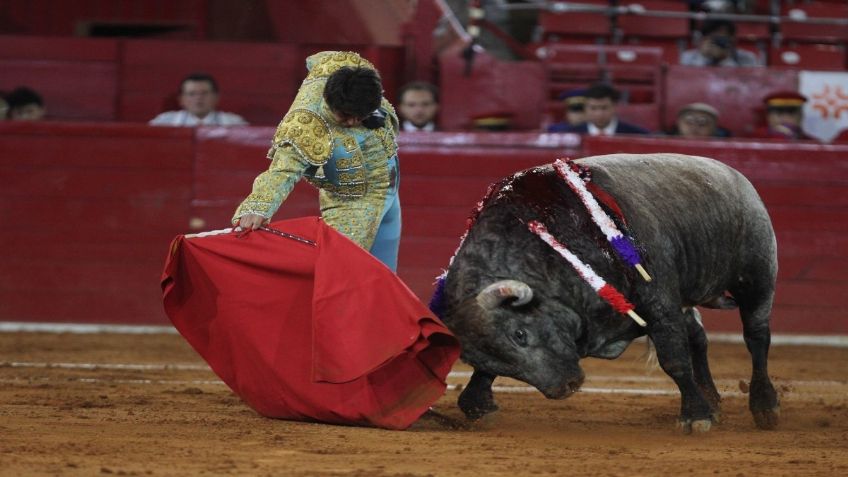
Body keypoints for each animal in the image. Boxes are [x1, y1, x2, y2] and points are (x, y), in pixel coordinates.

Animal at [438, 153, 780, 432]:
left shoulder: (660, 303)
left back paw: (765, 406)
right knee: (698, 336)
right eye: (497, 361)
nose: (566, 386)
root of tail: (734, 175)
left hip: (757, 275)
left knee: (756, 336)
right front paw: (478, 404)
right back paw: (713, 399)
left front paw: (695, 416)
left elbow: (674, 360)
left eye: (519, 334)